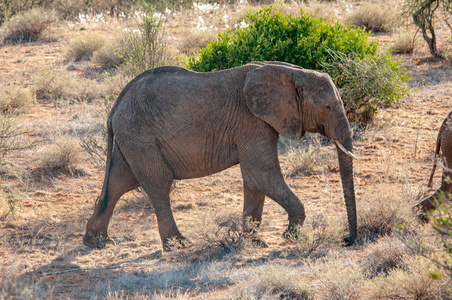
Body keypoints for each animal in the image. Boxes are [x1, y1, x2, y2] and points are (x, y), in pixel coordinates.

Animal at [83, 61, 358, 251]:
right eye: (328, 107)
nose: (347, 240)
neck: (291, 72)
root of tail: (115, 107)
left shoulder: (256, 123)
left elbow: (254, 182)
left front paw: (254, 243)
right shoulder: (251, 121)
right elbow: (261, 175)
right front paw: (290, 236)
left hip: (132, 138)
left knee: (119, 182)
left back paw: (96, 242)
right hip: (140, 136)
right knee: (158, 184)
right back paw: (178, 244)